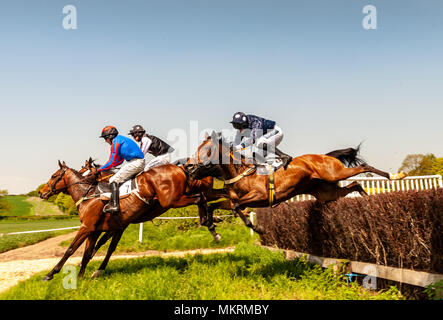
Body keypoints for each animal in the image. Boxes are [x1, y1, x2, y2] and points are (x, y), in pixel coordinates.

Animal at [183, 131, 406, 234]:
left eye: (206, 151)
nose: (188, 167)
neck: (242, 172)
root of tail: (325, 156)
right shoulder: (231, 200)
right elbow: (215, 206)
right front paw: (211, 223)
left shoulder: (259, 197)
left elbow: (239, 207)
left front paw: (258, 229)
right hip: (327, 192)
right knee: (355, 185)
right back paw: (367, 200)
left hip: (335, 174)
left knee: (364, 167)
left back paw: (395, 176)